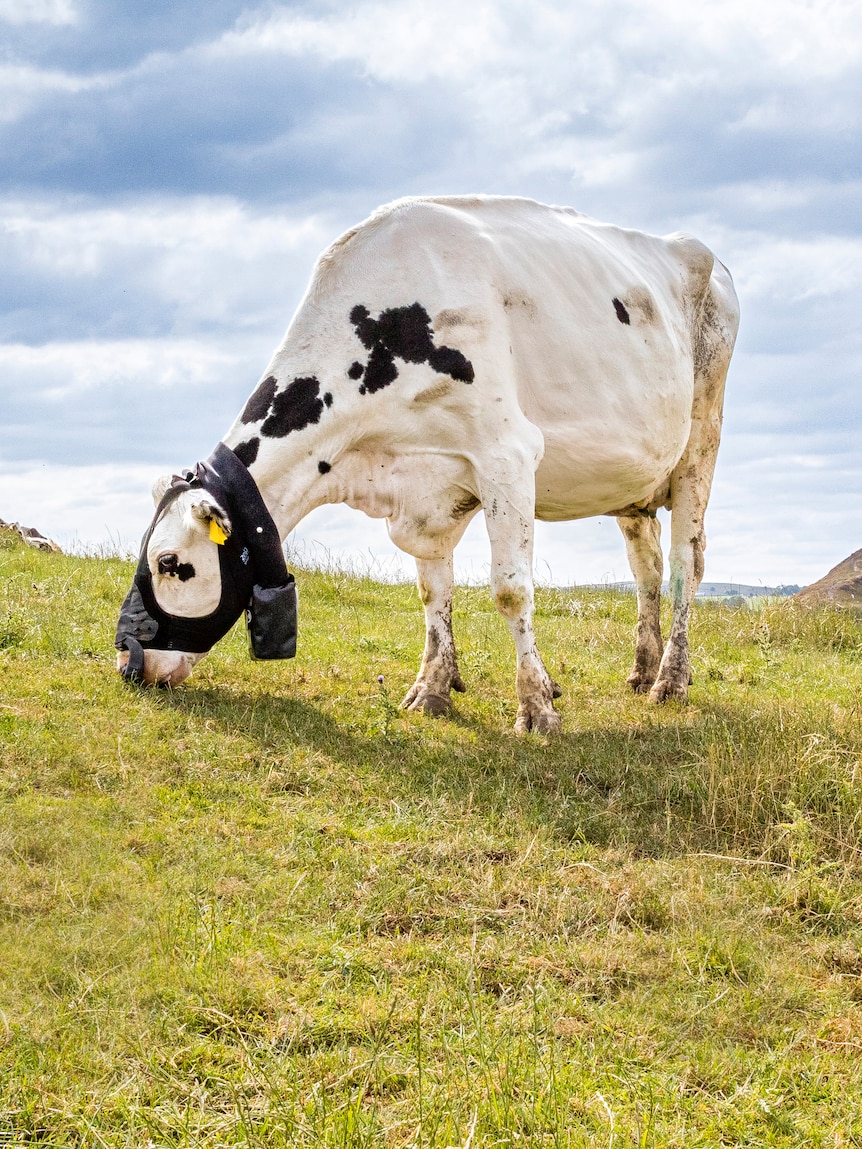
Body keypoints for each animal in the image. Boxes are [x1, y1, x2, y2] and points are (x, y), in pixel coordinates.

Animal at [116, 195, 739, 734]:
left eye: (169, 562)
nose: (128, 663)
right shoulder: (424, 486)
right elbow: (431, 590)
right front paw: (433, 688)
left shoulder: (506, 454)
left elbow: (511, 590)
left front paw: (537, 707)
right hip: (633, 478)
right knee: (646, 568)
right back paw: (642, 667)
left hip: (700, 443)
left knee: (686, 563)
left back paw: (670, 680)